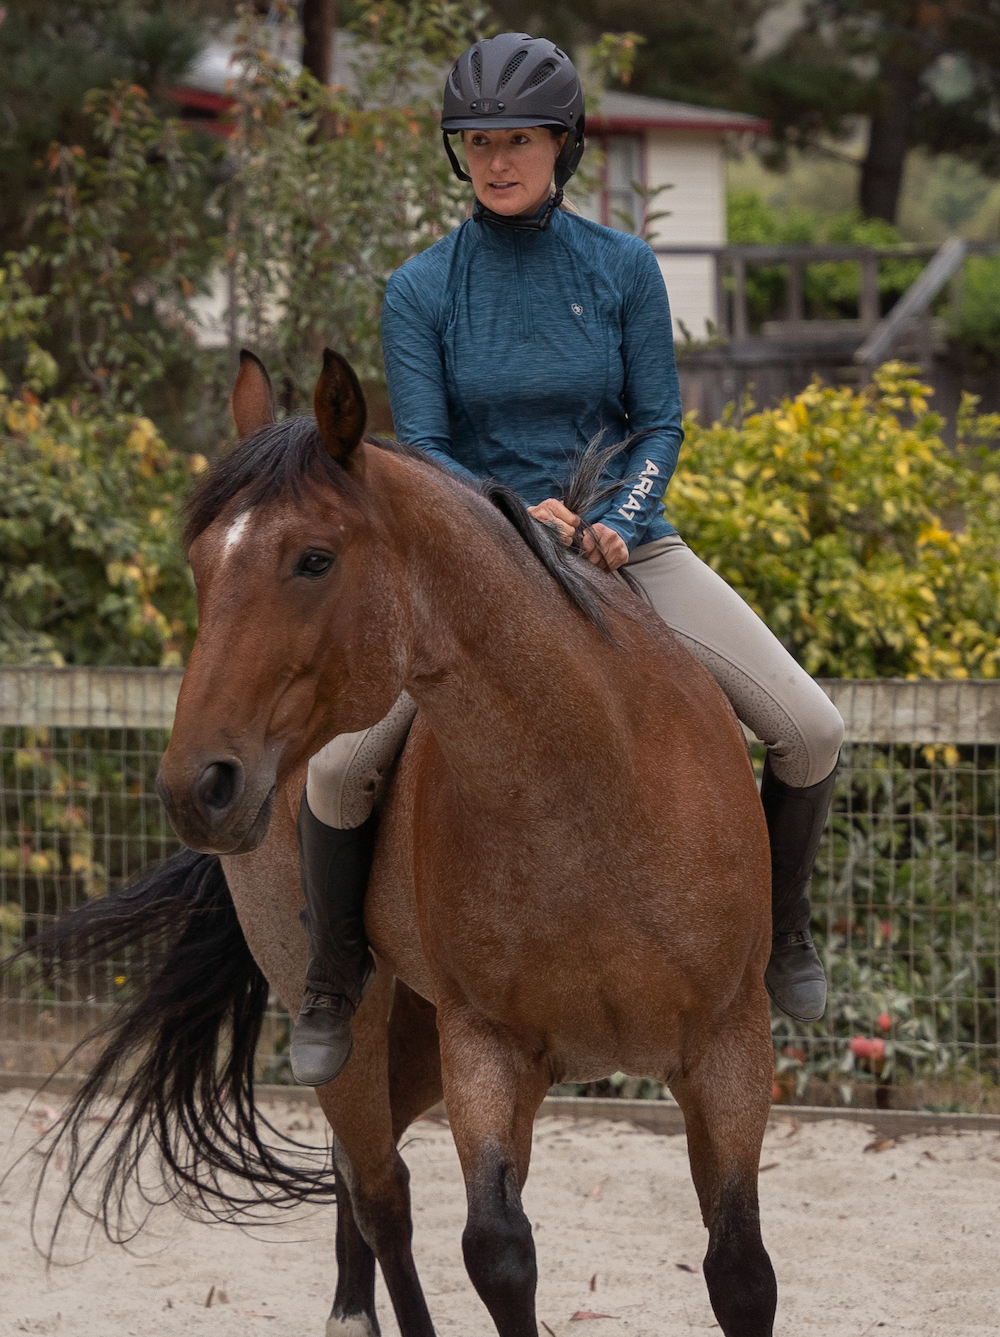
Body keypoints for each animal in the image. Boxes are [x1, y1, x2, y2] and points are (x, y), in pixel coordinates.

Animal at [17, 348, 777, 1337]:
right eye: (200, 565)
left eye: (314, 558)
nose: (198, 786)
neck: (594, 790)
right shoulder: (486, 1048)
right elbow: (498, 1250)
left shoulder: (729, 1047)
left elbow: (740, 1270)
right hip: (356, 1022)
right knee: (379, 1187)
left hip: (413, 1043)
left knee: (362, 1172)